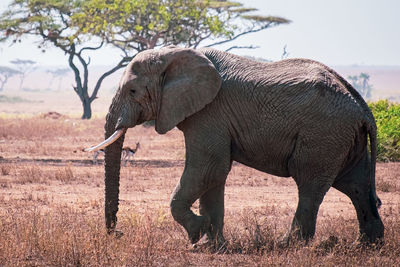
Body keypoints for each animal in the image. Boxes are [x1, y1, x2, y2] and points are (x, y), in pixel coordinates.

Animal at [86, 46, 382, 249]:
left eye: (133, 91)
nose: (117, 233)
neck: (174, 54)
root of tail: (362, 108)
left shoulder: (209, 112)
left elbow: (209, 168)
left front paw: (197, 234)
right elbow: (215, 175)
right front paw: (210, 245)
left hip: (323, 134)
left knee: (310, 184)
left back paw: (288, 246)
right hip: (342, 138)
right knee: (356, 185)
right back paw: (367, 246)